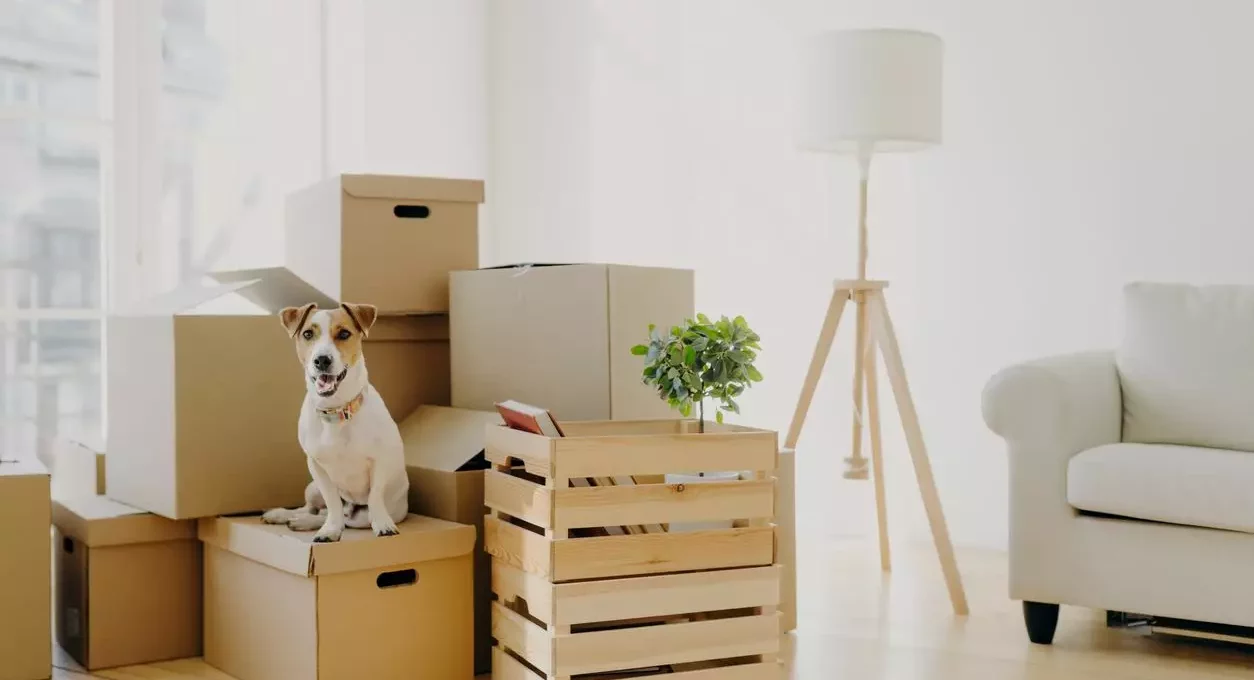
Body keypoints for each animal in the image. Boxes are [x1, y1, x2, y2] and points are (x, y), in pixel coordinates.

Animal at [259, 303, 406, 544]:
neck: (336, 411)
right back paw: (286, 516)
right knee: (315, 509)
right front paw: (330, 530)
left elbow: (375, 496)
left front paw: (384, 525)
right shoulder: (317, 467)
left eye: (344, 334)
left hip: (361, 516)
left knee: (340, 517)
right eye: (308, 334)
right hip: (312, 488)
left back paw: (302, 522)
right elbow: (332, 502)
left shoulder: (380, 461)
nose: (322, 360)